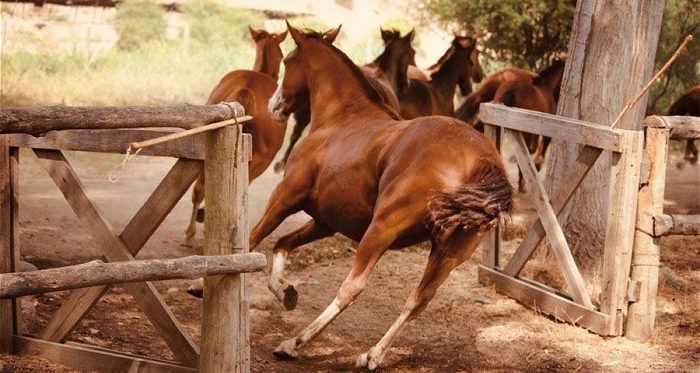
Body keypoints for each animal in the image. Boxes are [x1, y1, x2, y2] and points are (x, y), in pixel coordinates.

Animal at [254, 22, 512, 370]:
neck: (342, 118)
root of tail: (480, 157)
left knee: (353, 287)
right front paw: (285, 292)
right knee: (418, 299)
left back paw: (294, 343)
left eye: (287, 61)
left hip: (381, 230)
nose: (274, 106)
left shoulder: (284, 199)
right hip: (448, 253)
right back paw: (372, 355)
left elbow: (253, 238)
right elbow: (282, 244)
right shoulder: (326, 222)